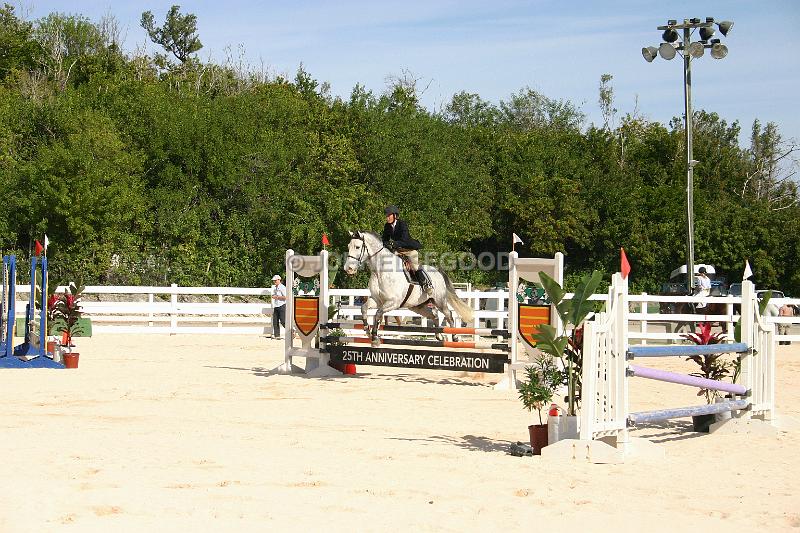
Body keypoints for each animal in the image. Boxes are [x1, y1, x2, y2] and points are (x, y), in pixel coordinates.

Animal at [340, 230, 472, 340]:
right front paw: (367, 330)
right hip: (418, 306)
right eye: (348, 246)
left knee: (448, 315)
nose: (348, 269)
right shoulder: (377, 300)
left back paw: (454, 336)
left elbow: (378, 314)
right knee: (433, 315)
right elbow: (364, 308)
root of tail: (438, 272)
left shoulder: (393, 302)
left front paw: (375, 335)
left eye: (357, 247)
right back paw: (438, 335)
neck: (380, 271)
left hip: (439, 301)